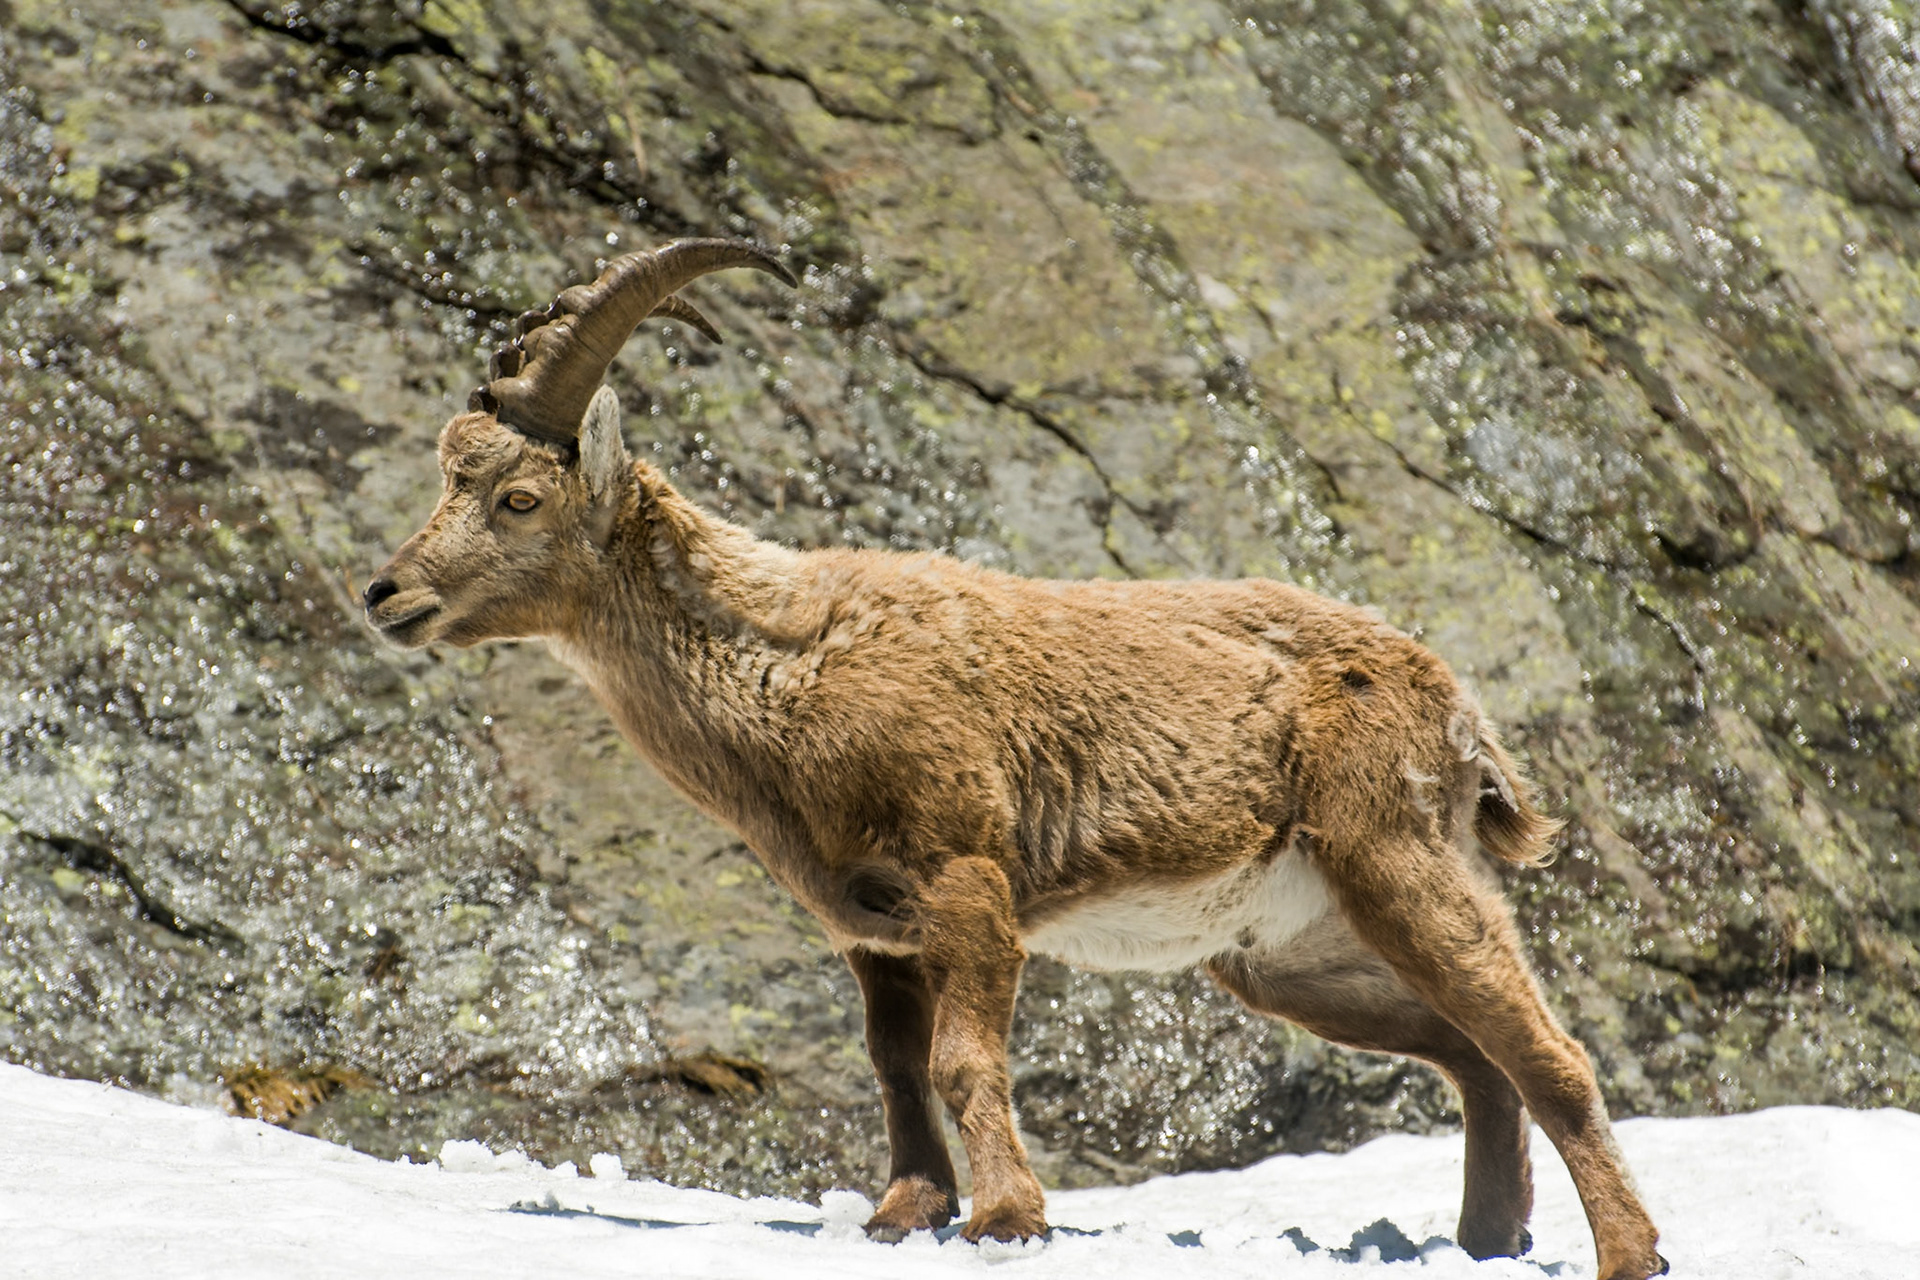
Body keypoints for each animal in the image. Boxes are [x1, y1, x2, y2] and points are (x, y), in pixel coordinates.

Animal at [363, 238, 1666, 1280]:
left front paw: (1004, 1218)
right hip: (1293, 951)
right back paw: (1489, 1238)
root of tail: (1452, 698)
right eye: (449, 473)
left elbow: (962, 1060)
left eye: (518, 495)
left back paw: (1628, 1250)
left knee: (1547, 1051)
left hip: (1393, 857)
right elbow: (896, 1066)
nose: (387, 593)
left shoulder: (968, 881)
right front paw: (904, 1212)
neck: (790, 667)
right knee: (1470, 1052)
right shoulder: (874, 930)